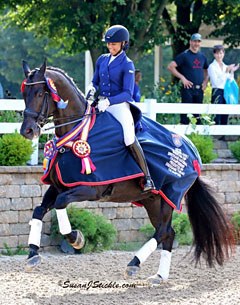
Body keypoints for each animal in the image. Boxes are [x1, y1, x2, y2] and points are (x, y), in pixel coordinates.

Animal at [20, 60, 234, 284]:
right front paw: (33, 255)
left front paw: (76, 238)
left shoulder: (90, 189)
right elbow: (38, 210)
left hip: (169, 198)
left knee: (163, 231)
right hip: (153, 201)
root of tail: (193, 153)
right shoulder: (58, 186)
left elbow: (61, 204)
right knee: (168, 233)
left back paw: (134, 264)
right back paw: (159, 276)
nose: (27, 131)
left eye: (39, 93)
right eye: (24, 92)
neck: (77, 132)